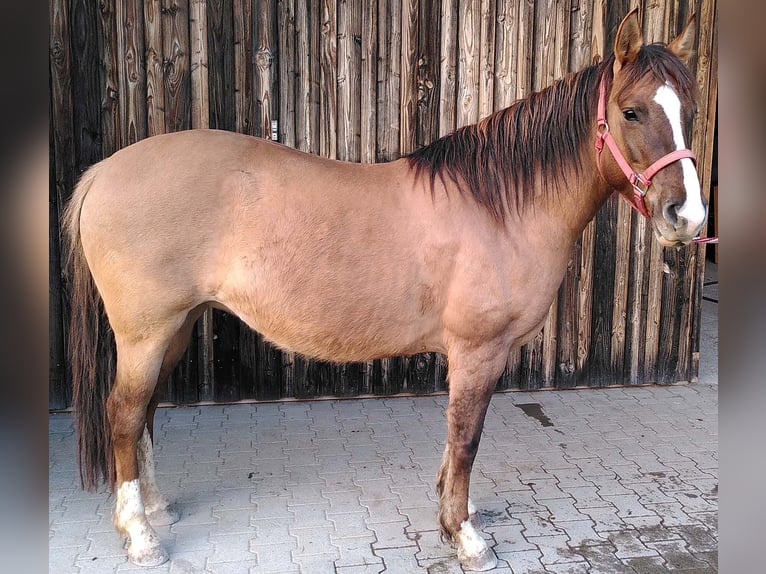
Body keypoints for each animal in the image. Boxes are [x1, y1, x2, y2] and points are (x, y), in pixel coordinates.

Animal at [64, 10, 708, 572]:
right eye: (631, 111)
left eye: (691, 110)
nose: (688, 216)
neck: (498, 207)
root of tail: (103, 173)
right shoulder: (479, 352)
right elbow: (467, 438)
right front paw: (464, 537)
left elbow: (455, 440)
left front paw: (457, 512)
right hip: (146, 333)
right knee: (124, 412)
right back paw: (140, 536)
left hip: (176, 327)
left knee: (145, 411)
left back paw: (155, 511)